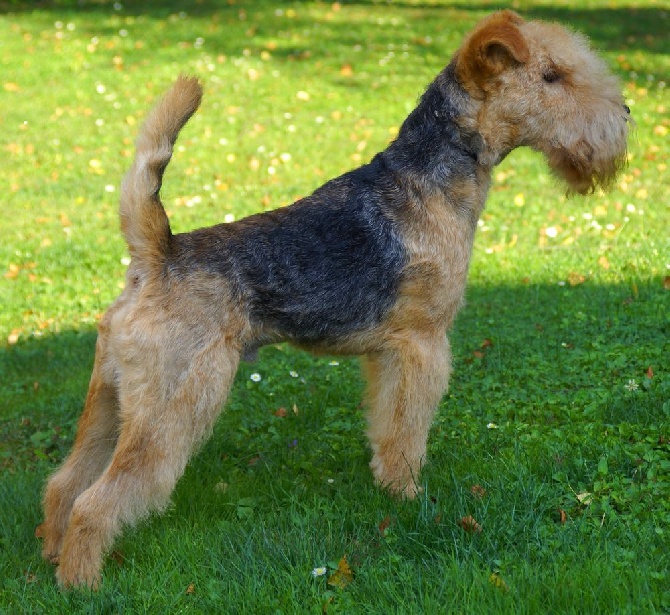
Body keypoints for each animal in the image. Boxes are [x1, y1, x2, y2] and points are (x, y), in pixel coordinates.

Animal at [40, 9, 632, 588]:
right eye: (552, 76)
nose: (625, 116)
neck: (431, 181)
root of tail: (155, 254)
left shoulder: (388, 352)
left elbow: (385, 427)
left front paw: (387, 488)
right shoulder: (421, 343)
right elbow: (405, 433)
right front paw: (407, 498)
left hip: (113, 396)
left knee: (65, 483)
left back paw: (50, 555)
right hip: (174, 402)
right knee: (96, 501)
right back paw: (82, 584)